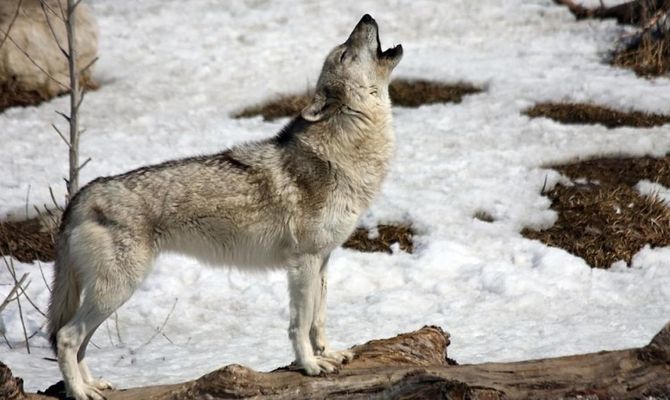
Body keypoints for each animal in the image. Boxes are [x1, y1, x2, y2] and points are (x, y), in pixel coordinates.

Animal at [47, 14, 402, 400]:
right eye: (344, 54)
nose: (366, 16)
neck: (345, 151)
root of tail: (80, 196)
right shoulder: (303, 263)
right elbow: (300, 322)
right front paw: (309, 366)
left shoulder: (322, 260)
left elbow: (318, 319)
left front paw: (329, 354)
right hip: (116, 290)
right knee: (66, 337)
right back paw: (79, 391)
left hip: (108, 294)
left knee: (78, 340)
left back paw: (93, 384)